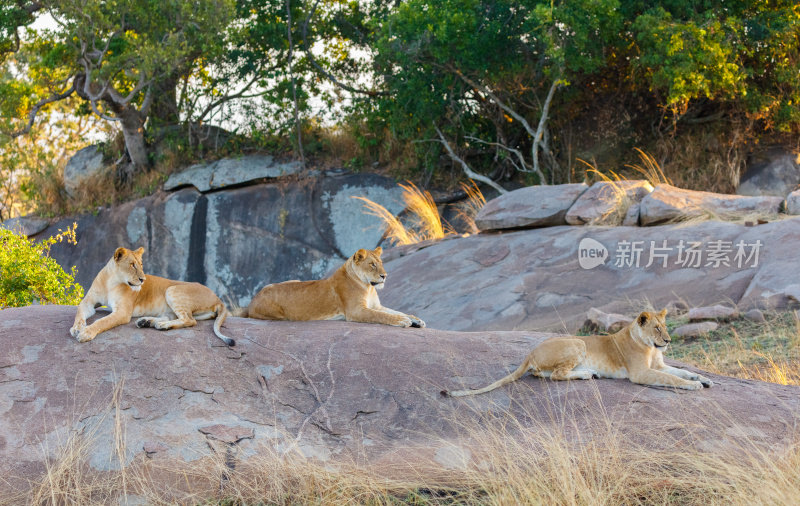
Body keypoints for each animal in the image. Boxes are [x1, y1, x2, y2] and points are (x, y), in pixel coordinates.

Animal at [70, 247, 234, 346]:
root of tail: (218, 298)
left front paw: (86, 333)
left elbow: (102, 321)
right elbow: (79, 311)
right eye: (132, 265)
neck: (111, 281)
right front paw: (76, 328)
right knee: (174, 317)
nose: (143, 279)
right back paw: (146, 322)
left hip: (172, 289)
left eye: (141, 264)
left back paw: (161, 325)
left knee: (190, 320)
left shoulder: (123, 312)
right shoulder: (88, 302)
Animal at [241, 246, 424, 328]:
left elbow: (395, 311)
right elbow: (382, 316)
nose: (384, 276)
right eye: (372, 264)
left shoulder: (376, 305)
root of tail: (252, 300)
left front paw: (416, 319)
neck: (368, 287)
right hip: (277, 314)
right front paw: (402, 321)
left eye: (381, 263)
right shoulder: (356, 311)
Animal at [444, 306, 712, 398]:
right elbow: (672, 378)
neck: (650, 347)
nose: (668, 340)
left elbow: (680, 371)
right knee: (556, 375)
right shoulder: (640, 373)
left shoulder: (658, 365)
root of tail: (530, 352)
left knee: (544, 374)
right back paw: (587, 374)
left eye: (664, 326)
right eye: (657, 328)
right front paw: (694, 385)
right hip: (578, 344)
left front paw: (704, 378)